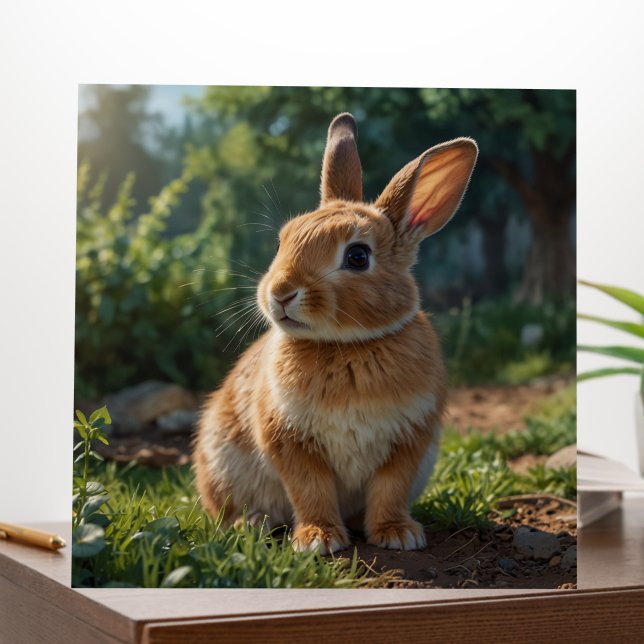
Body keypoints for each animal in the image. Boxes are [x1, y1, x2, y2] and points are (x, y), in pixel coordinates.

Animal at [193, 112, 478, 554]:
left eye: (358, 257)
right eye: (282, 241)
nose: (280, 293)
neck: (347, 345)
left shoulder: (409, 441)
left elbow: (390, 489)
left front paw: (397, 534)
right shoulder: (290, 442)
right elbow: (311, 490)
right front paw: (318, 540)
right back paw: (250, 525)